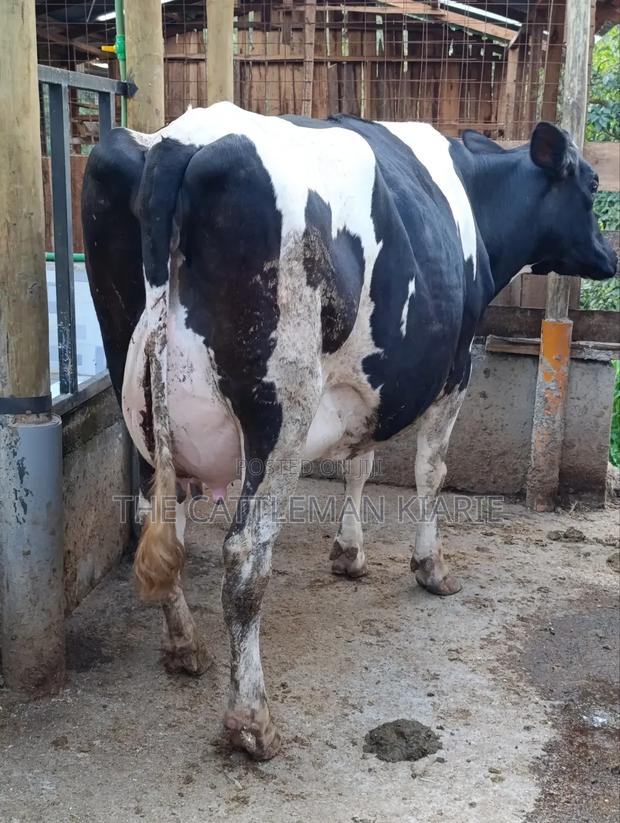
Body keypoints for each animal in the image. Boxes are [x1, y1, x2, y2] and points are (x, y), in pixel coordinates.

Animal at [82, 102, 617, 760]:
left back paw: (185, 646)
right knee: (244, 552)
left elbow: (358, 462)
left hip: (137, 395)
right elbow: (430, 472)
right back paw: (251, 720)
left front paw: (349, 552)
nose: (611, 257)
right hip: (281, 408)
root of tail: (181, 143)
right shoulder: (457, 366)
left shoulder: (363, 385)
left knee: (161, 521)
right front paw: (430, 568)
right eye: (591, 186)